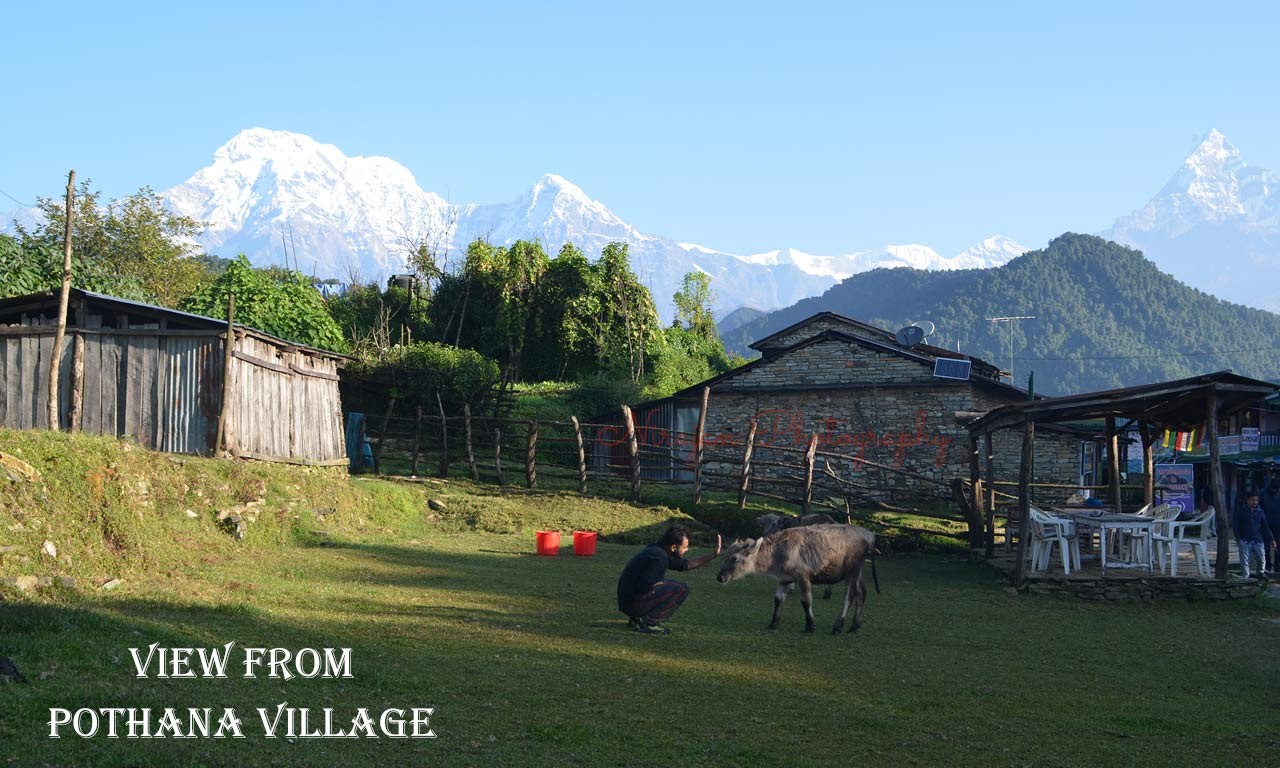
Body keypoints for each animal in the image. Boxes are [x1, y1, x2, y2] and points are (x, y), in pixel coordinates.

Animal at [711, 524, 880, 632]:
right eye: (724, 556)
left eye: (734, 558)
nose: (720, 577)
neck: (779, 551)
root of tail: (870, 535)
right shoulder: (784, 580)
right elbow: (778, 600)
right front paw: (773, 623)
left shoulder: (803, 577)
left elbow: (806, 601)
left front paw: (810, 625)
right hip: (857, 573)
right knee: (862, 593)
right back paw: (855, 626)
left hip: (853, 570)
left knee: (849, 596)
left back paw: (838, 625)